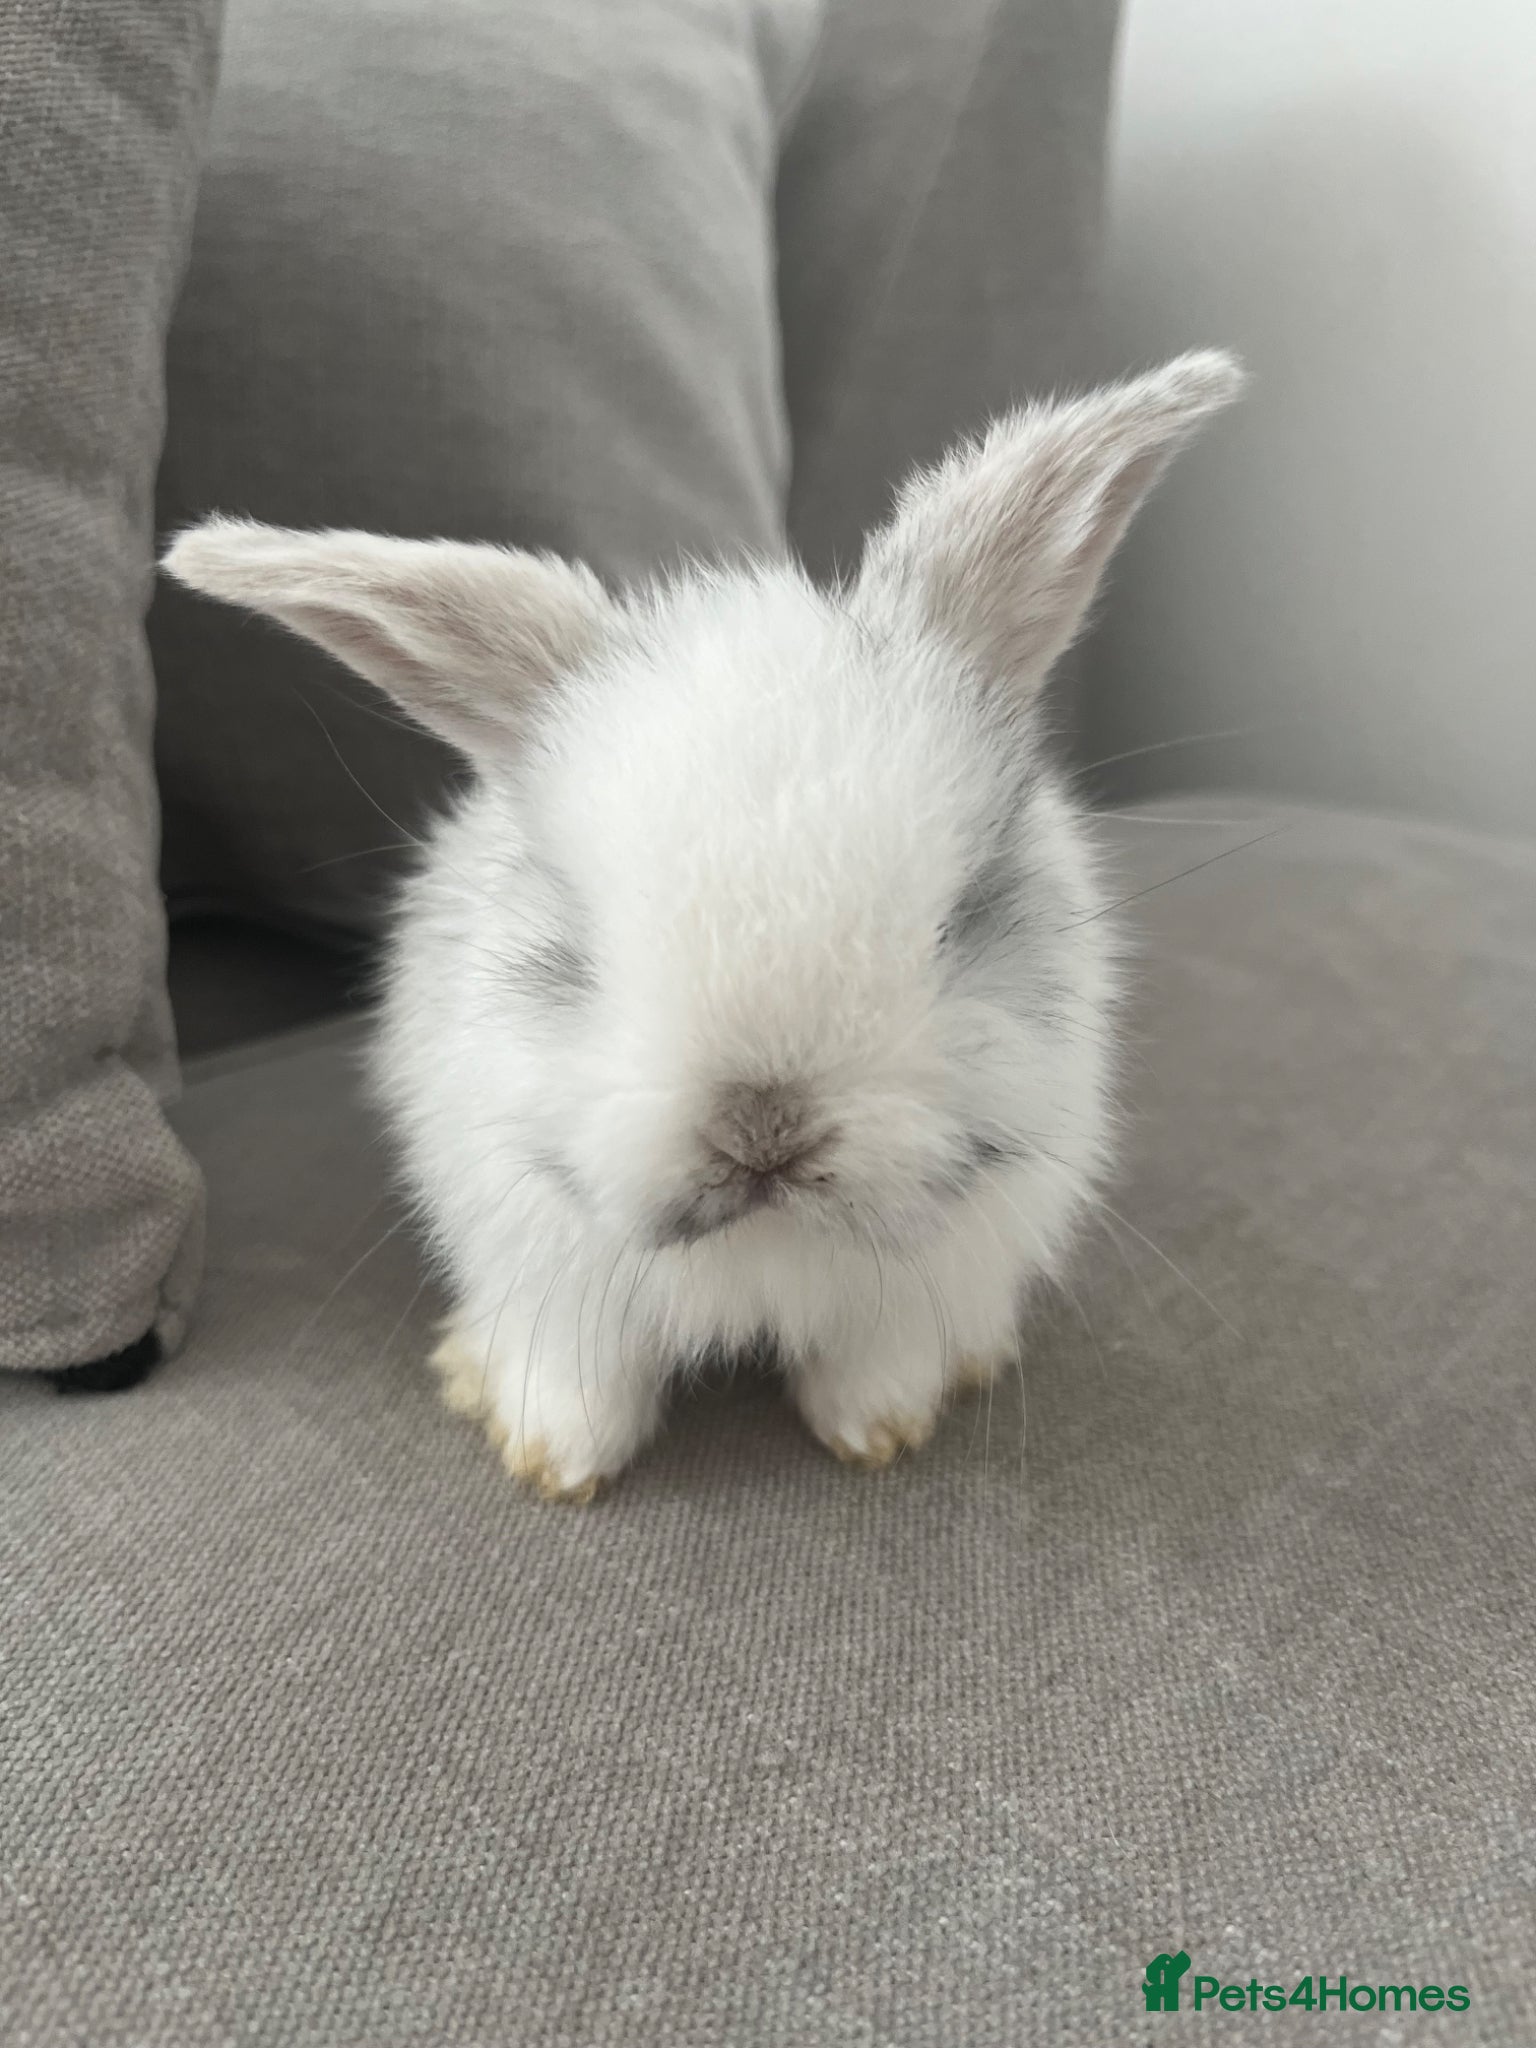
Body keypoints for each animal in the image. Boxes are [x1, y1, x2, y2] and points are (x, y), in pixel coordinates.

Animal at [164, 349, 1243, 1500]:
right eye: (579, 936)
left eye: (958, 917)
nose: (763, 1130)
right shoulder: (541, 1261)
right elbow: (579, 1375)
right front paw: (551, 1462)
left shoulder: (929, 1273)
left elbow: (877, 1356)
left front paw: (880, 1430)